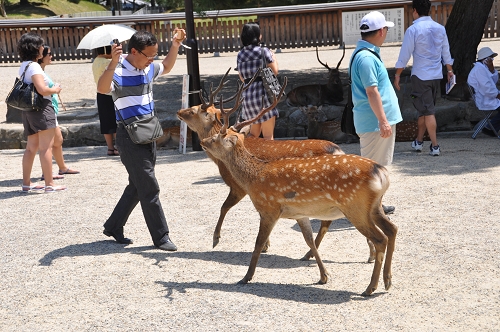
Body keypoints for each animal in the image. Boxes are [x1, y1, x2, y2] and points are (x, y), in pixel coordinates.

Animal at [200, 81, 398, 296]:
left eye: (217, 138)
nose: (203, 142)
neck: (254, 178)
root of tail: (381, 173)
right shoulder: (300, 213)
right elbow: (309, 240)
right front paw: (323, 276)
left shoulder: (269, 208)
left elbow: (258, 243)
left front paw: (246, 277)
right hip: (374, 206)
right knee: (392, 229)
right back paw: (387, 280)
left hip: (355, 207)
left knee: (380, 238)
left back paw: (370, 287)